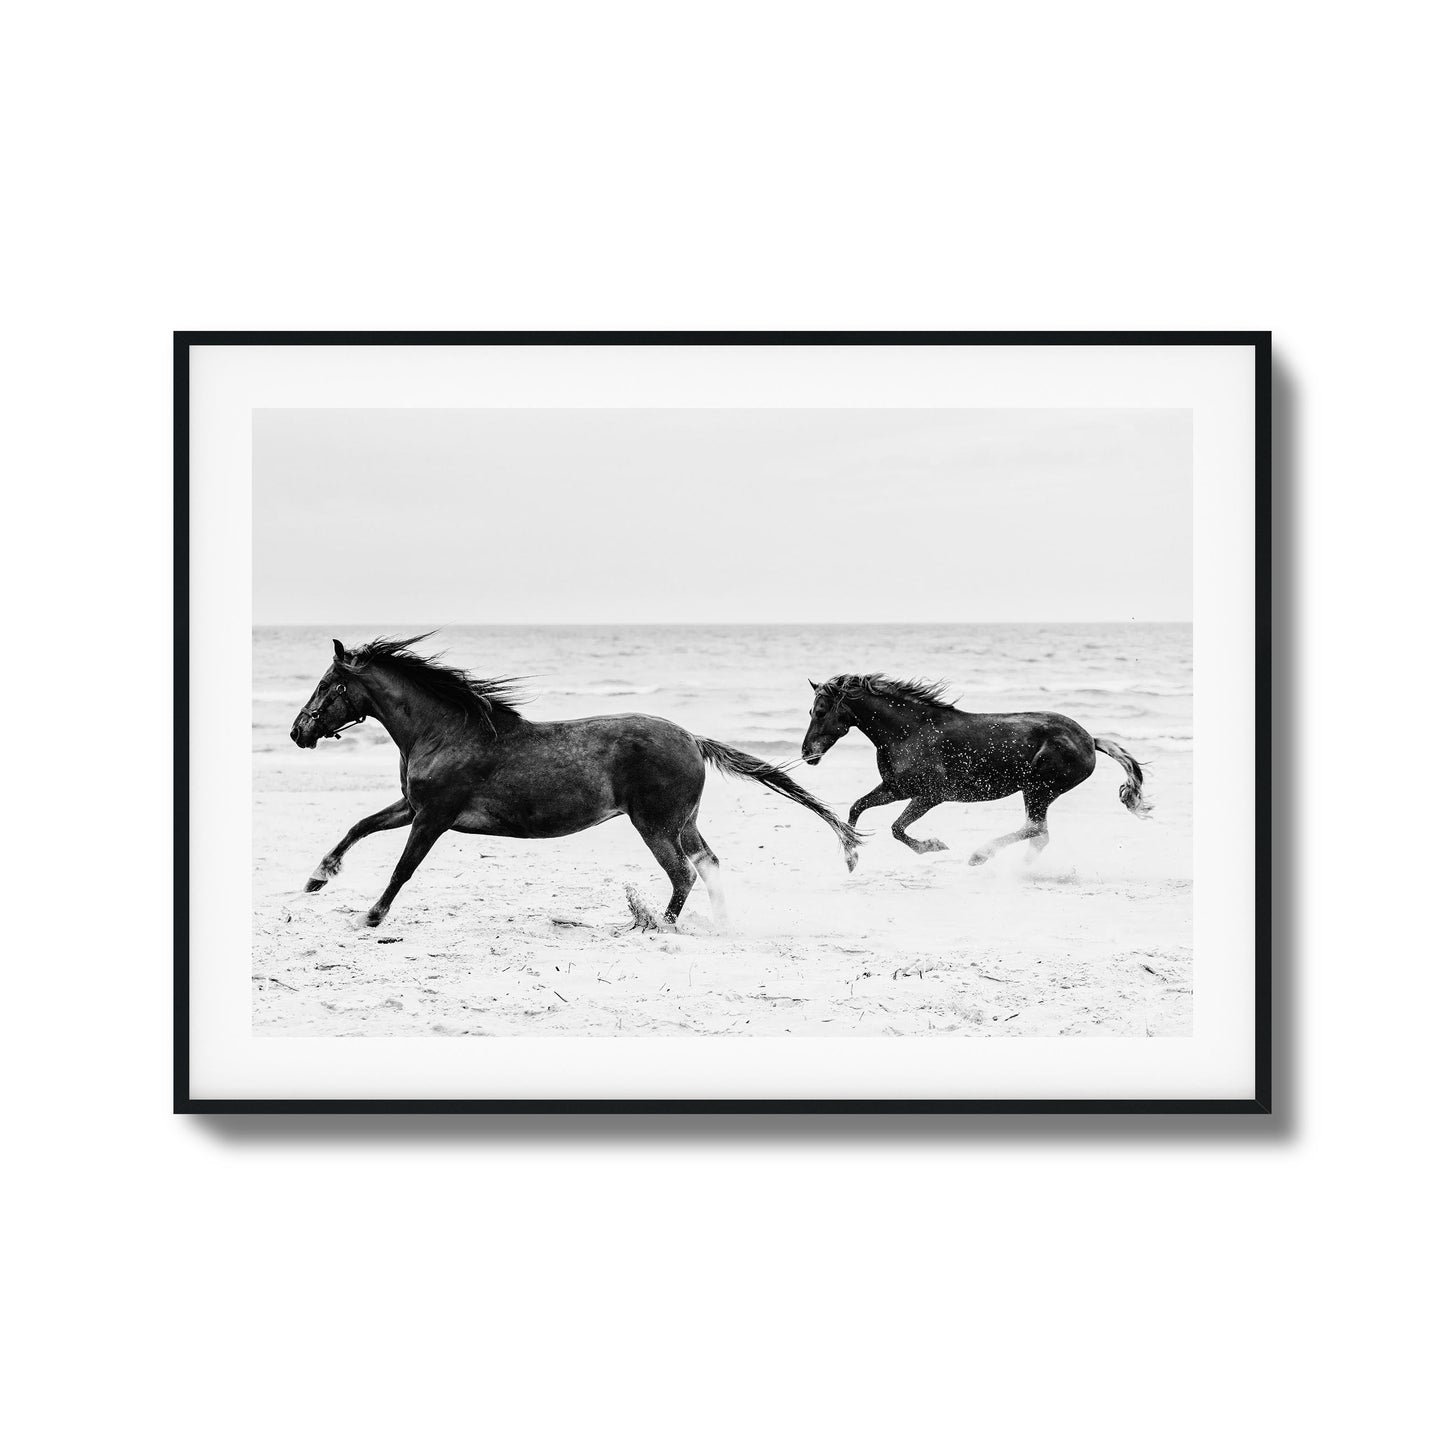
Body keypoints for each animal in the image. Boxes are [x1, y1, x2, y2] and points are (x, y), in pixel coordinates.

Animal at [290, 636, 861, 928]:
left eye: (327, 684)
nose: (298, 732)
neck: (445, 732)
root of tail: (693, 739)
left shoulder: (434, 816)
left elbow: (403, 869)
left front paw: (371, 916)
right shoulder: (412, 807)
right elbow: (359, 826)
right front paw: (317, 878)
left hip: (654, 825)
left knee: (683, 874)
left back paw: (660, 927)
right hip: (684, 822)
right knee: (709, 865)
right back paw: (718, 924)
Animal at [799, 673, 1150, 869]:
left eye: (820, 711)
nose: (806, 754)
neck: (909, 731)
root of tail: (1090, 739)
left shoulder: (930, 795)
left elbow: (897, 828)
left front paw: (933, 846)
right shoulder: (897, 788)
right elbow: (856, 808)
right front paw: (850, 857)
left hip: (1039, 789)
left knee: (1035, 829)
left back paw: (981, 856)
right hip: (1038, 792)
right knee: (1039, 835)